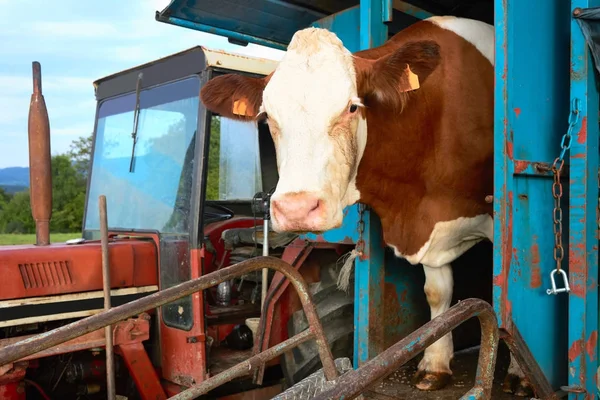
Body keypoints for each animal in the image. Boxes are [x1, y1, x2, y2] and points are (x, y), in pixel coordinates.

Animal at [199, 15, 532, 396]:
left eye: (352, 106)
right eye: (267, 116)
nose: (297, 208)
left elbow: (512, 297)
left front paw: (521, 374)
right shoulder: (426, 225)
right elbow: (437, 292)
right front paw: (434, 364)